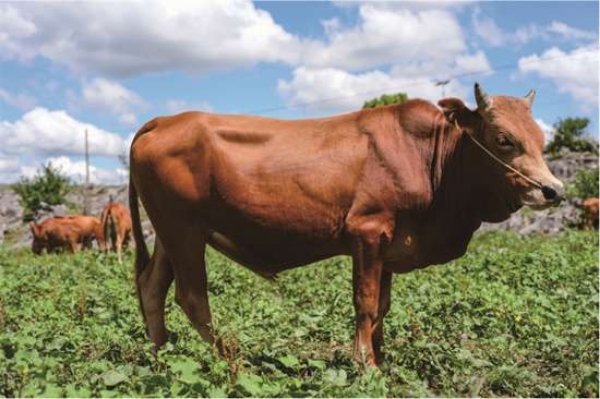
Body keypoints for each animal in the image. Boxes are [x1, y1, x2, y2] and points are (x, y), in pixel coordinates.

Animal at [127, 83, 564, 368]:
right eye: (503, 138)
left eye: (541, 138)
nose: (553, 190)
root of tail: (166, 119)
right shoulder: (367, 232)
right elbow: (366, 303)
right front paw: (366, 365)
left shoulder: (390, 245)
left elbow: (383, 306)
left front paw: (383, 361)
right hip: (184, 230)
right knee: (191, 296)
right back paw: (232, 362)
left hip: (170, 233)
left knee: (152, 287)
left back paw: (161, 359)